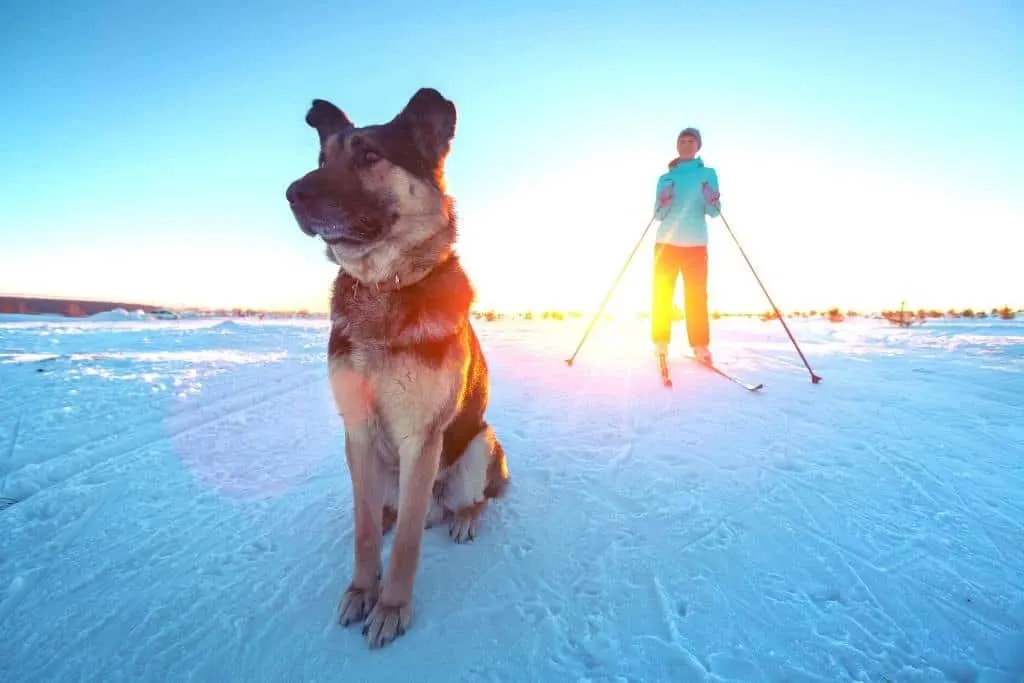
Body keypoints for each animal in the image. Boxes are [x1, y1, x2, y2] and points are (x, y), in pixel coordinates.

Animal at [284, 88, 512, 651]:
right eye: (322, 158)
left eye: (369, 156)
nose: (292, 193)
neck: (383, 288)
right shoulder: (359, 432)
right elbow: (365, 531)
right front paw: (361, 591)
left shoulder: (420, 438)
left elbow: (408, 542)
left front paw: (391, 608)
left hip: (479, 444)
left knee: (472, 501)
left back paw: (464, 520)